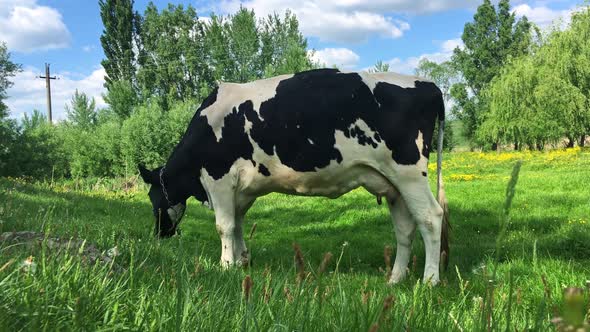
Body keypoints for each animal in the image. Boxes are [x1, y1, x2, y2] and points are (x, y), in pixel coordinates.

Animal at [139, 68, 450, 286]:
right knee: (405, 228)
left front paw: (225, 265)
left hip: (409, 173)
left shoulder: (219, 178)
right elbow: (238, 223)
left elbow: (224, 226)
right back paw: (396, 278)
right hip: (393, 184)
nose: (159, 235)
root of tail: (429, 84)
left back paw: (430, 280)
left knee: (431, 217)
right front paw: (241, 261)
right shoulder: (243, 189)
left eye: (153, 199)